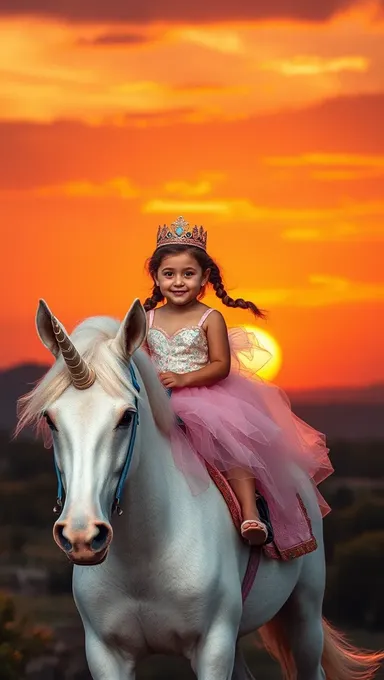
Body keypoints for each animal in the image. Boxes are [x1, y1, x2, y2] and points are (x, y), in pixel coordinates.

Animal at [17, 298, 384, 680]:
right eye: (50, 419)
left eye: (126, 417)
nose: (82, 537)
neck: (144, 554)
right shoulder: (105, 654)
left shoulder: (213, 646)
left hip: (304, 614)